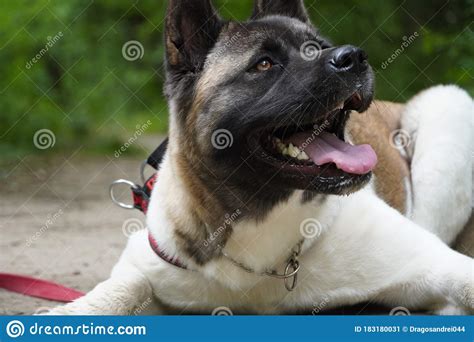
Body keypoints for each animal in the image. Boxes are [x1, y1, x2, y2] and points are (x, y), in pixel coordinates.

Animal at [45, 0, 474, 316]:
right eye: (263, 64)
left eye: (320, 46)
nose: (353, 56)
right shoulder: (151, 259)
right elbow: (126, 285)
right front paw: (75, 311)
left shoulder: (435, 262)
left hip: (449, 107)